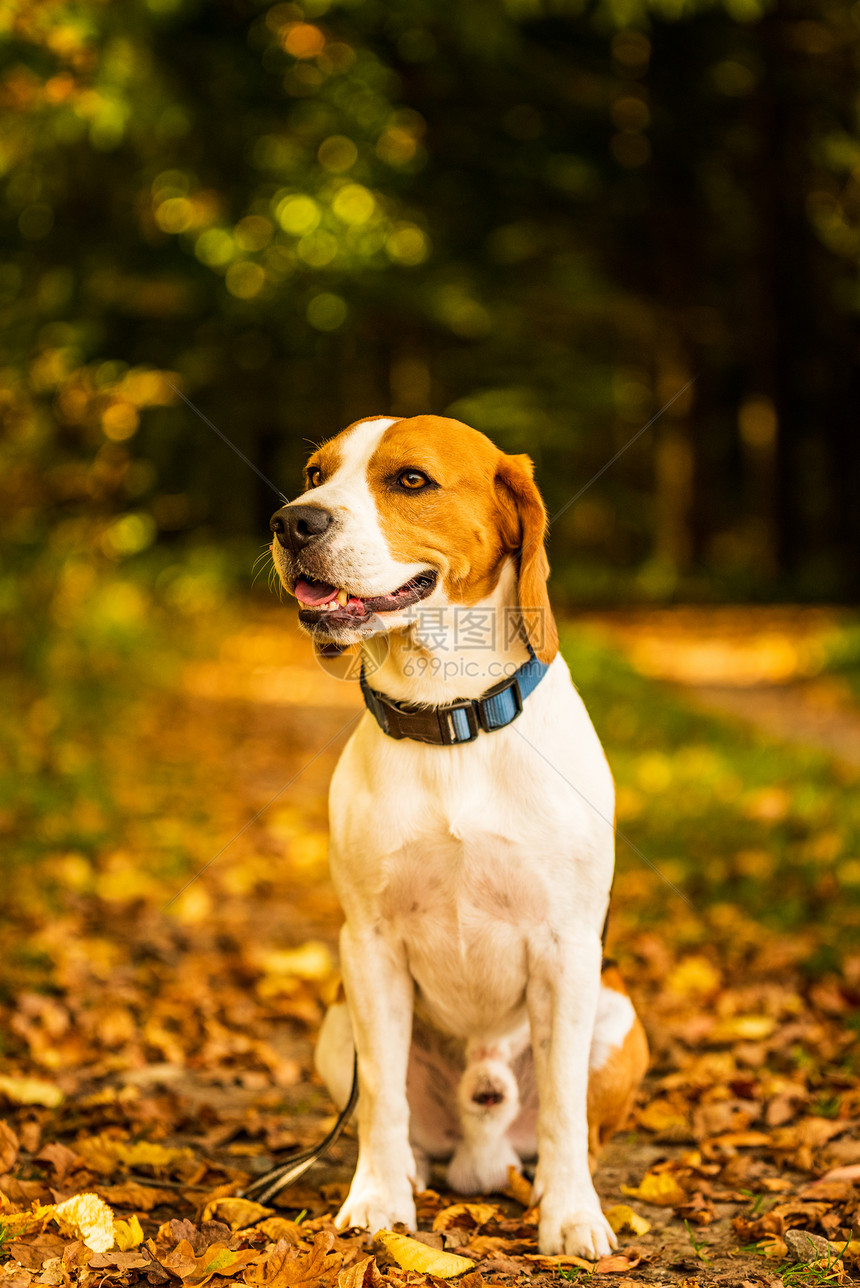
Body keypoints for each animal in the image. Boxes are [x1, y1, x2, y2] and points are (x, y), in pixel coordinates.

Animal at [269, 414, 643, 1257]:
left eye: (411, 480)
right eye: (314, 473)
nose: (292, 521)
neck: (453, 718)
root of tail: (482, 1149)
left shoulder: (569, 950)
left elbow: (565, 1109)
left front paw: (572, 1216)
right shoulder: (368, 946)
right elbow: (380, 1100)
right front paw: (377, 1200)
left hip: (619, 1017)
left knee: (574, 1128)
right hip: (336, 1026)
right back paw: (409, 1171)